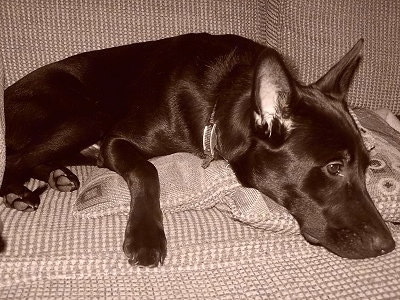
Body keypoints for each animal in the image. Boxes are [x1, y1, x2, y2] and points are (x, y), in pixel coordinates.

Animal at [0, 34, 394, 266]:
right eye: (333, 168)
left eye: (367, 165)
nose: (388, 245)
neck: (222, 97)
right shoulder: (116, 139)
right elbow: (147, 169)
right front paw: (145, 236)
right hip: (88, 114)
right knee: (18, 155)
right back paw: (17, 191)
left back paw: (57, 175)